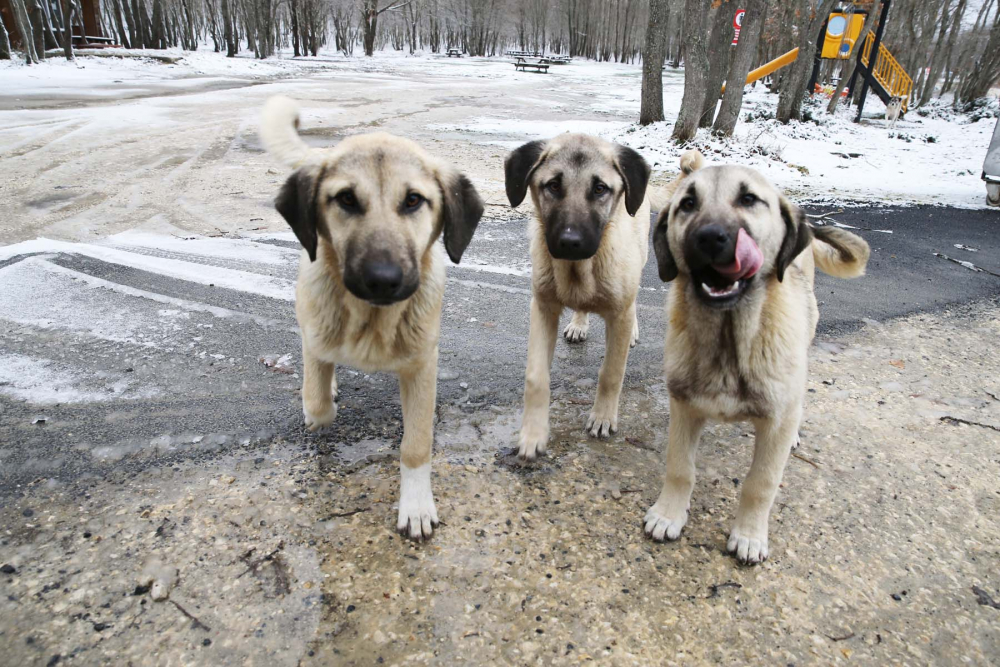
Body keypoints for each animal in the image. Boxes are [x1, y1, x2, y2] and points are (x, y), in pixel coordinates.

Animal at [260, 96, 482, 540]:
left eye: (413, 200)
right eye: (346, 199)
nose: (383, 279)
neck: (373, 319)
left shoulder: (422, 365)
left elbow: (416, 444)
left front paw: (415, 505)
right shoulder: (316, 340)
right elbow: (316, 402)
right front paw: (320, 403)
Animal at [504, 133, 652, 462]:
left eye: (600, 189)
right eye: (553, 185)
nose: (571, 242)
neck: (578, 271)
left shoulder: (619, 315)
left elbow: (611, 372)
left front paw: (602, 418)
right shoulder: (543, 307)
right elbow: (536, 378)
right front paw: (532, 434)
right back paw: (579, 323)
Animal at [648, 160, 868, 564]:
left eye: (749, 199)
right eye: (687, 204)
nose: (709, 237)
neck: (728, 341)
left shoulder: (775, 422)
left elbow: (760, 483)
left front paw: (749, 535)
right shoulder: (683, 407)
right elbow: (680, 467)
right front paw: (668, 514)